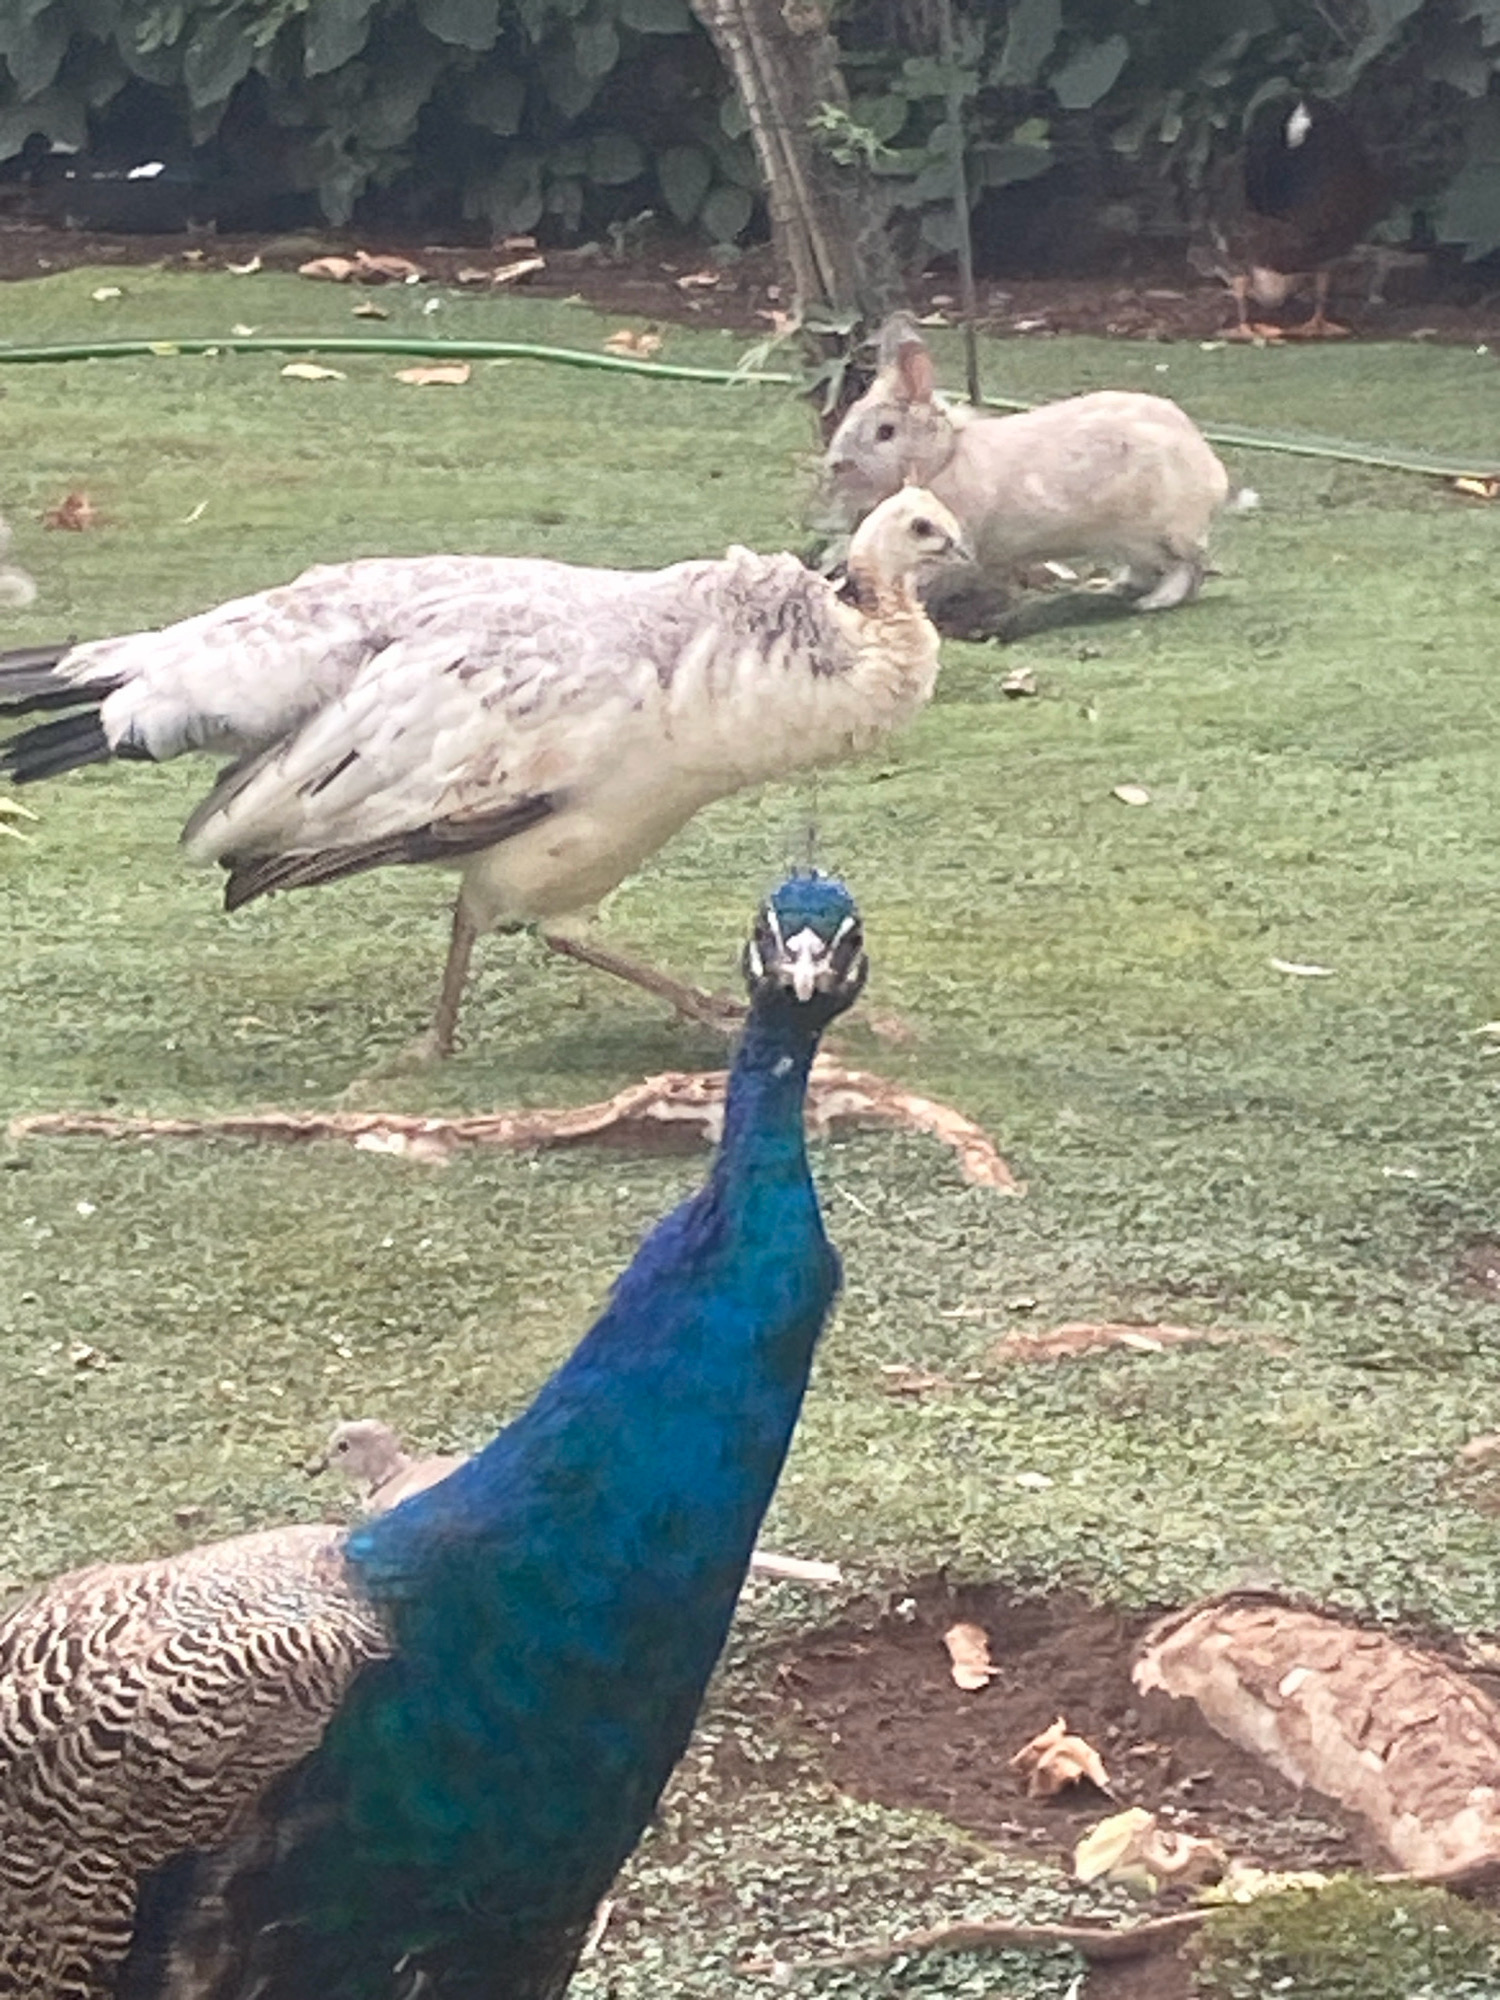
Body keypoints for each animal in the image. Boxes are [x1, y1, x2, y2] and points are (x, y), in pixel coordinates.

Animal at [821, 320, 1248, 638]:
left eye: (885, 432)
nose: (835, 464)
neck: (943, 458)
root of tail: (1214, 478)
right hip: (1128, 543)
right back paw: (1115, 587)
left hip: (1161, 533)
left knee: (1188, 568)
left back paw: (1152, 602)